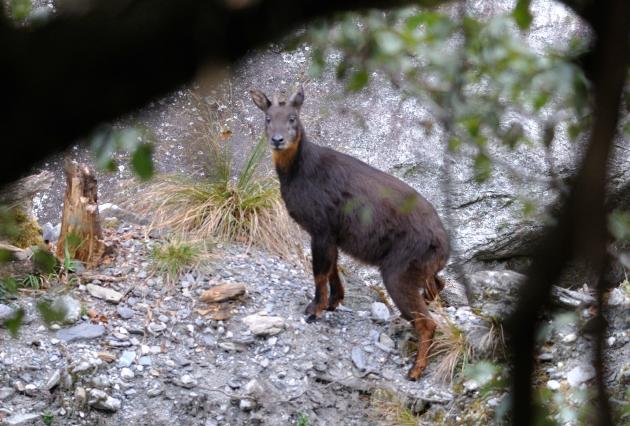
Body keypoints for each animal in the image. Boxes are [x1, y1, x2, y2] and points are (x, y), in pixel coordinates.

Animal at [252, 86, 450, 380]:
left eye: (292, 118)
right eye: (267, 118)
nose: (277, 140)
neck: (299, 171)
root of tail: (445, 247)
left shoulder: (321, 227)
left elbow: (319, 271)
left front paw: (314, 310)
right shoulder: (333, 234)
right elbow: (333, 268)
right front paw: (333, 302)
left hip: (398, 272)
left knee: (427, 322)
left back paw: (415, 371)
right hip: (420, 272)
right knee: (438, 288)